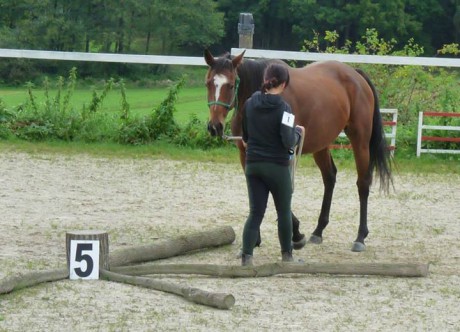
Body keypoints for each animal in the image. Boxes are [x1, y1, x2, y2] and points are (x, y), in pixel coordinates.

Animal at [205, 49, 392, 252]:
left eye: (231, 85)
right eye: (208, 83)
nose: (215, 127)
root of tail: (356, 75)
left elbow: (279, 191)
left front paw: (296, 233)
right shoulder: (246, 155)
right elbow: (256, 192)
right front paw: (255, 239)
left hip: (360, 141)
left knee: (363, 184)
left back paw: (360, 237)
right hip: (321, 144)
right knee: (330, 177)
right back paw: (318, 231)